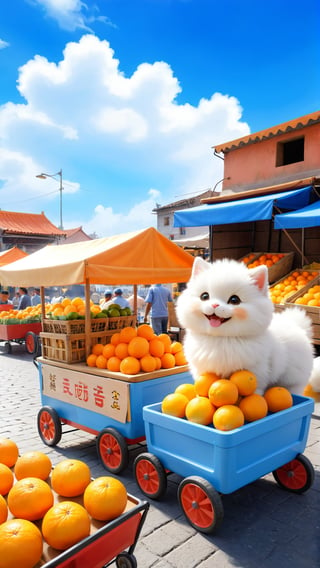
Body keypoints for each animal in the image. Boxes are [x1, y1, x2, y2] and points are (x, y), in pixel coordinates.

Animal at [178, 258, 316, 394]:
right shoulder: (202, 369)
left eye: (234, 300)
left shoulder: (257, 370)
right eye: (204, 296)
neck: (223, 338)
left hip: (292, 378)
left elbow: (255, 390)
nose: (215, 305)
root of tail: (297, 325)